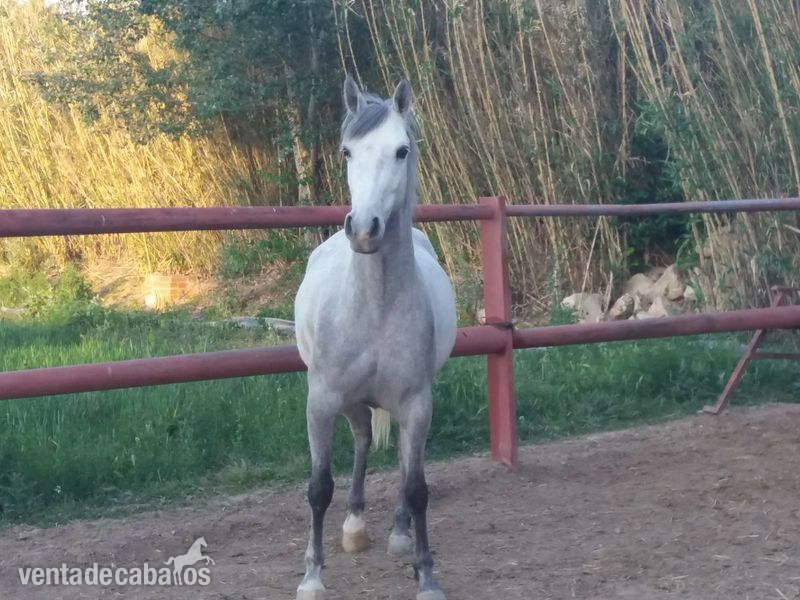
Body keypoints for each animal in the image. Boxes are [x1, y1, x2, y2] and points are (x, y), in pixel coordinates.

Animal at [293, 75, 457, 600]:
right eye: (347, 151)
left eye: (401, 150)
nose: (364, 229)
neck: (374, 308)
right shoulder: (321, 400)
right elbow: (318, 488)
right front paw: (311, 578)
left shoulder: (417, 404)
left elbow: (417, 487)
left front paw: (426, 575)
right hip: (347, 400)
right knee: (363, 438)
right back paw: (354, 526)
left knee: (398, 461)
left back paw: (395, 533)